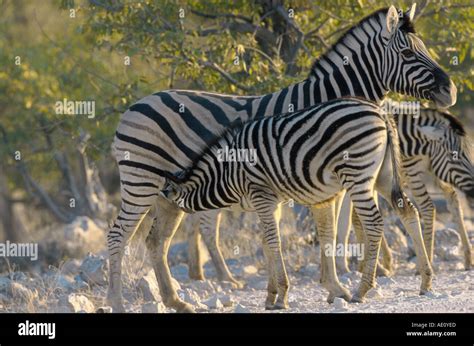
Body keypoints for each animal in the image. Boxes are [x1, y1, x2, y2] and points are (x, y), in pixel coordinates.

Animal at [161, 98, 428, 308]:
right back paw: (426, 280)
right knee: (408, 211)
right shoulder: (273, 202)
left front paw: (281, 296)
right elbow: (266, 243)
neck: (228, 172)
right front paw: (270, 296)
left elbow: (272, 242)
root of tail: (381, 112)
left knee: (374, 223)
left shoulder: (262, 196)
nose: (156, 232)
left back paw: (361, 290)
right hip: (383, 174)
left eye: (162, 208)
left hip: (358, 174)